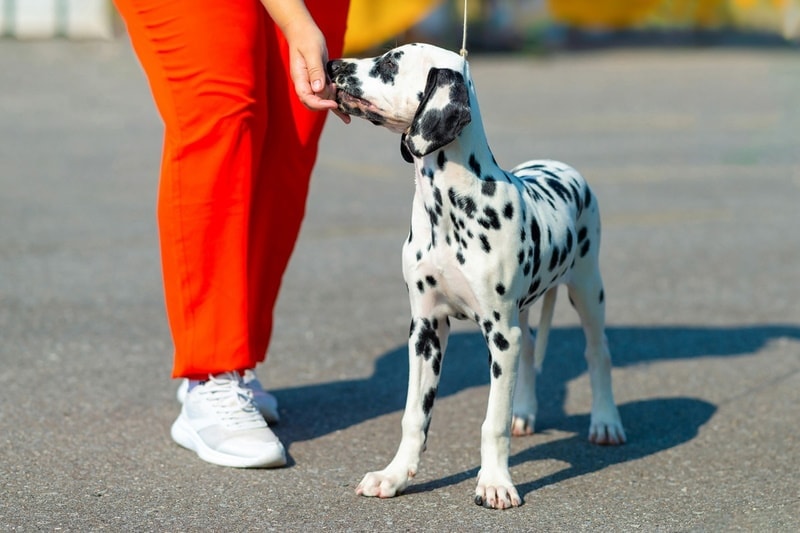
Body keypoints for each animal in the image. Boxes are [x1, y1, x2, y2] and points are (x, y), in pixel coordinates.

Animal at [324, 43, 624, 510]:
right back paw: (526, 413)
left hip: (588, 290)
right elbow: (414, 416)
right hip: (525, 314)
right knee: (532, 349)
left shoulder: (500, 333)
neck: (448, 208)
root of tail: (560, 165)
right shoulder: (426, 329)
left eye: (391, 61)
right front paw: (395, 476)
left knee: (598, 354)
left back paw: (606, 422)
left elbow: (492, 423)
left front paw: (495, 483)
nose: (331, 65)